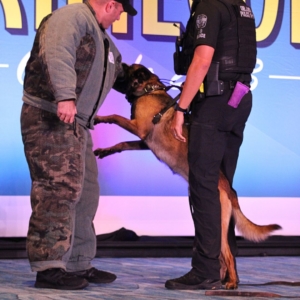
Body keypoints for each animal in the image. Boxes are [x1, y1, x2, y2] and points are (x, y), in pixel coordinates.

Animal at [94, 64, 282, 290]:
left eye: (127, 69)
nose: (118, 64)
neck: (149, 90)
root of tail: (229, 188)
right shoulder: (143, 140)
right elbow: (121, 143)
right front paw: (105, 150)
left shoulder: (138, 127)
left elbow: (114, 116)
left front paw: (99, 117)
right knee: (223, 257)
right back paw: (221, 280)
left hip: (218, 224)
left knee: (227, 254)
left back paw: (230, 283)